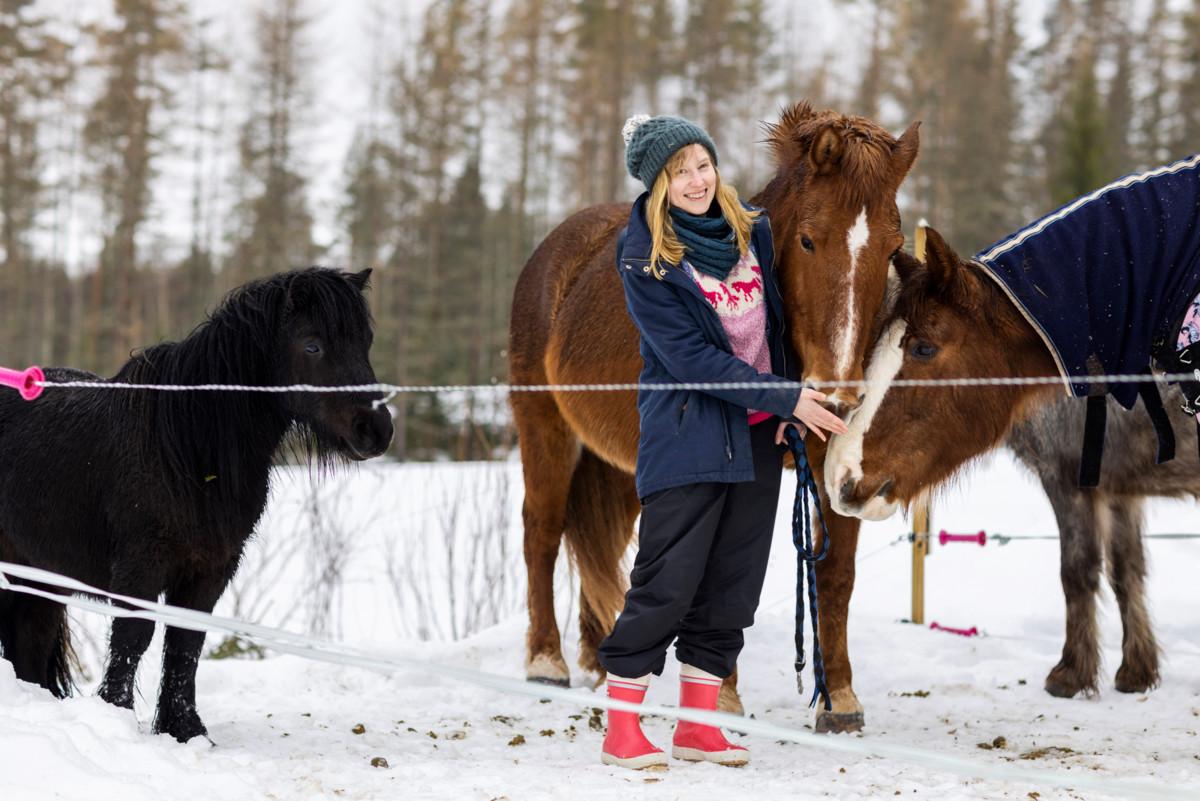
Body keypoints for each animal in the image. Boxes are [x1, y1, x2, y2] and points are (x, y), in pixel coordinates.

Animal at [0, 266, 393, 743]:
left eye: (365, 342)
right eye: (312, 345)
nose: (376, 431)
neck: (184, 448)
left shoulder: (212, 567)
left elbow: (186, 643)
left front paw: (186, 729)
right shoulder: (140, 566)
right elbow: (133, 637)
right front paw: (117, 716)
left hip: (39, 576)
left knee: (30, 642)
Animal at [506, 101, 916, 733]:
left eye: (893, 250)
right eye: (808, 240)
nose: (837, 396)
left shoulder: (837, 467)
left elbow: (836, 575)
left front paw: (841, 701)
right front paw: (722, 697)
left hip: (620, 466)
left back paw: (600, 665)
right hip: (544, 428)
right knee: (543, 530)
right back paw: (546, 663)